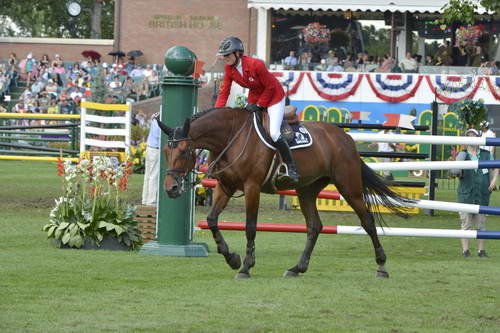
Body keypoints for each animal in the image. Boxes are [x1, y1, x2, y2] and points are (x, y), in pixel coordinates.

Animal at [157, 106, 414, 278]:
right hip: (307, 190)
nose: (171, 188)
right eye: (166, 152)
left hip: (348, 186)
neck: (231, 137)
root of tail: (345, 136)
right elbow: (211, 220)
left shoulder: (252, 187)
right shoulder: (225, 186)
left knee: (367, 220)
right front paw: (232, 258)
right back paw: (297, 268)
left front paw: (246, 266)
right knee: (314, 226)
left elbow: (250, 227)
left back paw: (381, 266)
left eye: (184, 150)